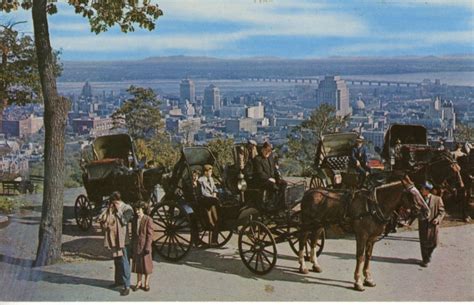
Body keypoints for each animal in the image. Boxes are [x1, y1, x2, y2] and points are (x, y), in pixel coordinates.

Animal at [296, 173, 426, 290]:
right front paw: (358, 281)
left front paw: (368, 279)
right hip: (307, 224)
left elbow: (368, 256)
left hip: (319, 225)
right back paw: (302, 266)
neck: (372, 206)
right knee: (302, 240)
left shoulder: (372, 238)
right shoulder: (362, 235)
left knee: (313, 241)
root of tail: (308, 192)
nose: (426, 211)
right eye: (411, 194)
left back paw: (315, 265)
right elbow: (360, 257)